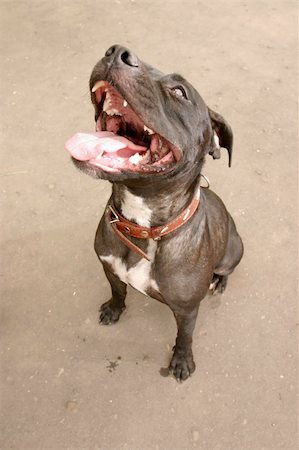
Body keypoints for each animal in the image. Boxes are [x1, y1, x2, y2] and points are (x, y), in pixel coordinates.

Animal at [65, 45, 244, 382]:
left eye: (179, 91)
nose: (116, 52)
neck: (145, 227)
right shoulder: (110, 268)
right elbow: (118, 291)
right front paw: (114, 309)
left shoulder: (187, 309)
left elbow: (184, 336)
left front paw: (182, 361)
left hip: (232, 252)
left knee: (226, 270)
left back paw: (220, 282)